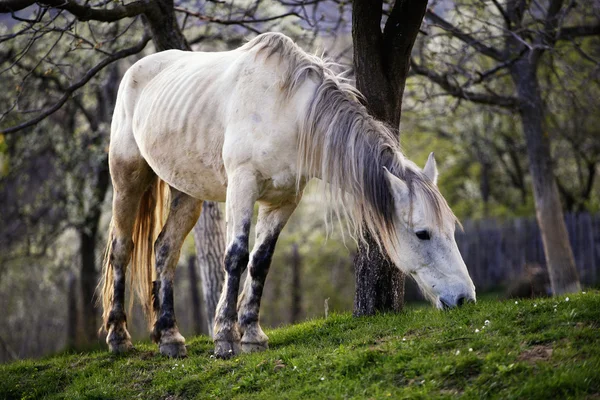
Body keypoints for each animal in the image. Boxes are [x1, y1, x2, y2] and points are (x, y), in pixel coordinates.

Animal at [99, 32, 474, 360]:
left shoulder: (283, 201)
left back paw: (170, 338)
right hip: (127, 179)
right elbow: (236, 257)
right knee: (122, 248)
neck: (286, 110)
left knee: (165, 251)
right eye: (422, 233)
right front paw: (225, 340)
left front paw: (252, 336)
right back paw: (119, 338)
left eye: (451, 231)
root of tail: (137, 69)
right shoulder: (242, 186)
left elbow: (261, 261)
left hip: (186, 193)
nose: (465, 299)